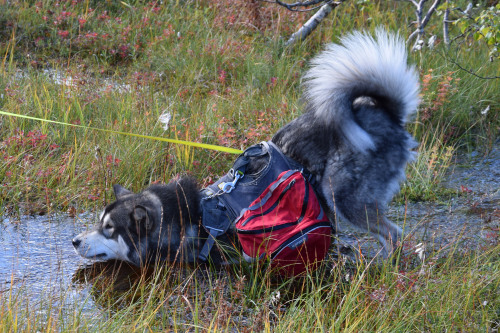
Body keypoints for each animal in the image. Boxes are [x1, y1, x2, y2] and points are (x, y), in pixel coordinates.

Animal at [72, 29, 420, 266]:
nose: (75, 240)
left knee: (393, 234)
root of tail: (387, 114)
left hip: (344, 197)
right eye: (98, 223)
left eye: (109, 229)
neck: (186, 217)